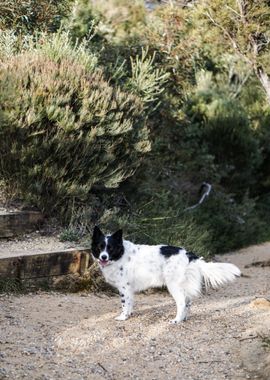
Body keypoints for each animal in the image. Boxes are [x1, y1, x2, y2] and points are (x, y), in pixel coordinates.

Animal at [90, 226, 240, 324]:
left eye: (110, 248)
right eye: (99, 247)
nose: (103, 257)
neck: (120, 254)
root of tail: (190, 255)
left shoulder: (124, 288)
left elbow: (124, 304)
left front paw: (123, 317)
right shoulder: (129, 289)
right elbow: (130, 303)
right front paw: (129, 314)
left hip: (173, 285)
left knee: (182, 303)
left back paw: (177, 320)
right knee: (188, 302)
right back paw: (184, 318)